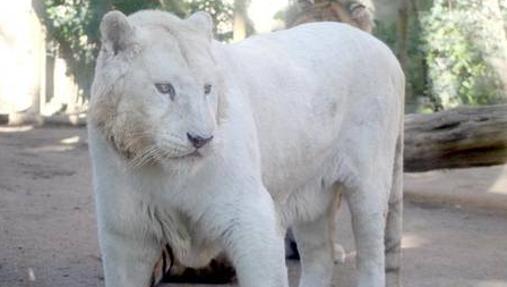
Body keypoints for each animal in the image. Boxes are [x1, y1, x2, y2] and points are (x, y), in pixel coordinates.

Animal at [87, 9, 404, 287]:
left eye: (207, 88)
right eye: (164, 88)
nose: (201, 139)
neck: (158, 168)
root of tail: (384, 48)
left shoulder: (250, 216)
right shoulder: (125, 231)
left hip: (369, 186)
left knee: (372, 256)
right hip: (312, 192)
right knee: (320, 258)